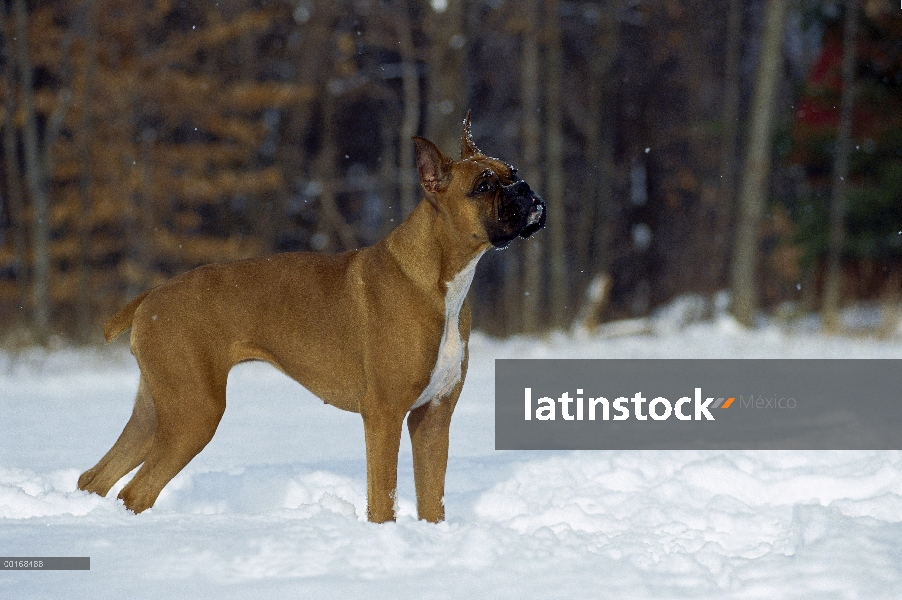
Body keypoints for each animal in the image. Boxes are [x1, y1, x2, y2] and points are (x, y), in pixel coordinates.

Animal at [77, 113, 544, 520]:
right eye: (484, 185)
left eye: (512, 170)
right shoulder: (385, 415)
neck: (439, 277)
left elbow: (433, 502)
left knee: (96, 478)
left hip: (156, 412)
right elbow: (383, 499)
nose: (524, 189)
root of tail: (153, 295)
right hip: (194, 414)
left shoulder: (432, 418)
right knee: (137, 491)